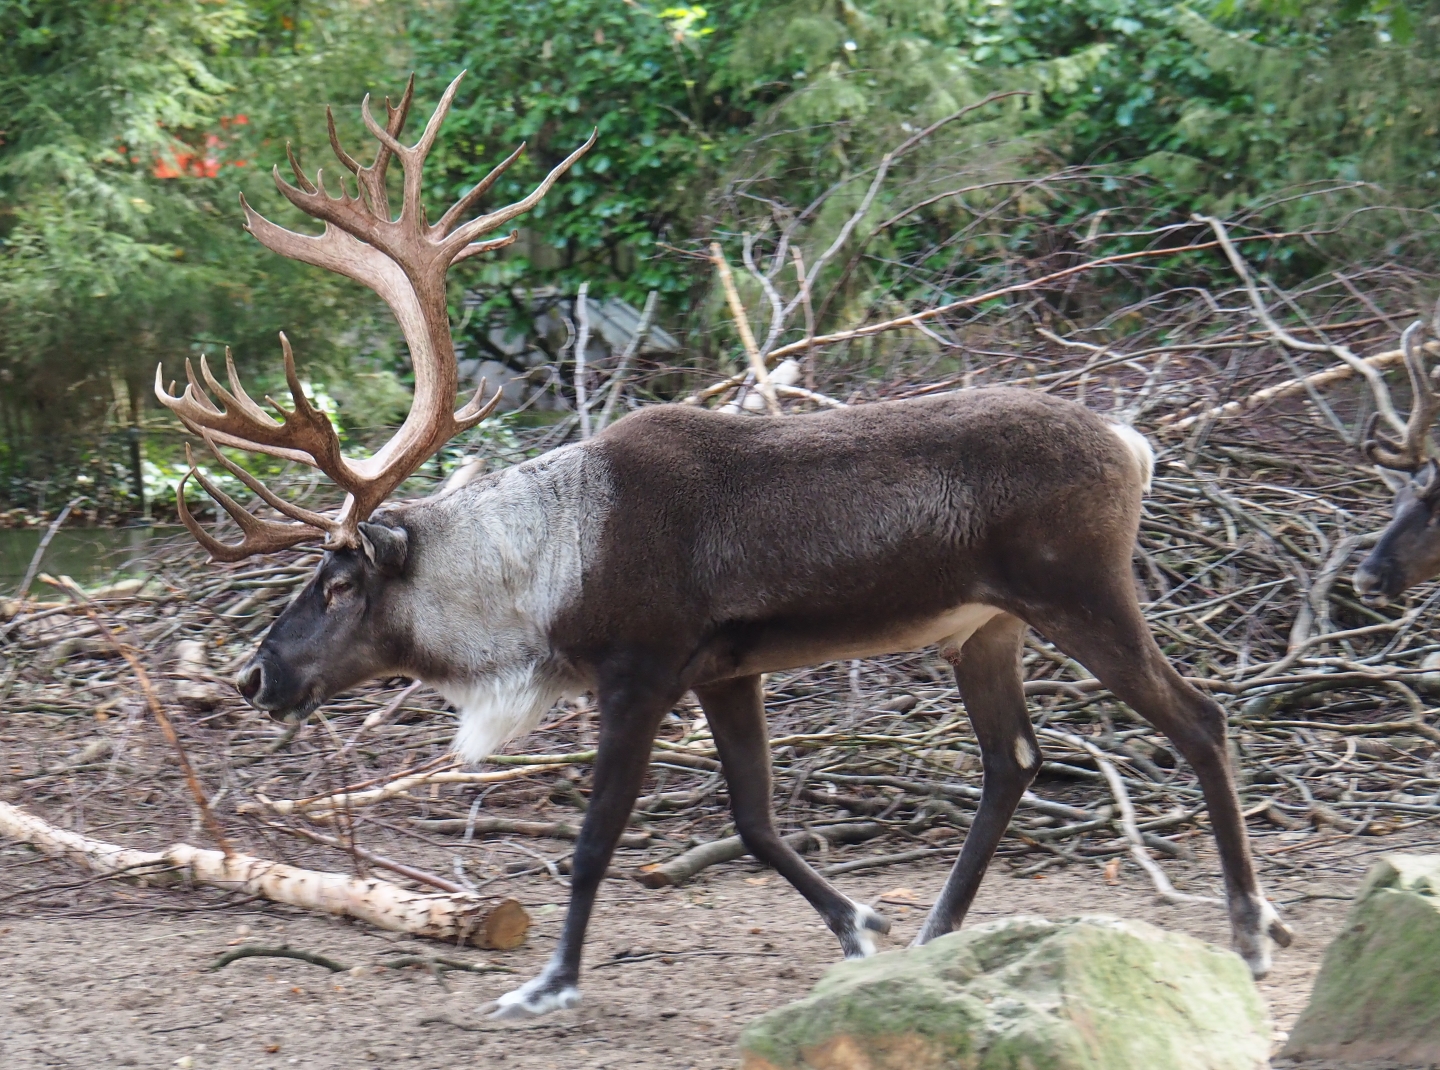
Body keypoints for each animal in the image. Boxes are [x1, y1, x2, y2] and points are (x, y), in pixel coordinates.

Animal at [155, 73, 1291, 1019]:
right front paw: (860, 925)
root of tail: (1134, 443)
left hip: (1082, 593)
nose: (256, 674)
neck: (539, 576)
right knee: (1013, 759)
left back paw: (1252, 929)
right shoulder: (725, 670)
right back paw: (939, 925)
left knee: (1199, 719)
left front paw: (548, 980)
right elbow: (753, 818)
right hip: (985, 628)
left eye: (338, 579)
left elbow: (594, 841)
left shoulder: (641, 667)